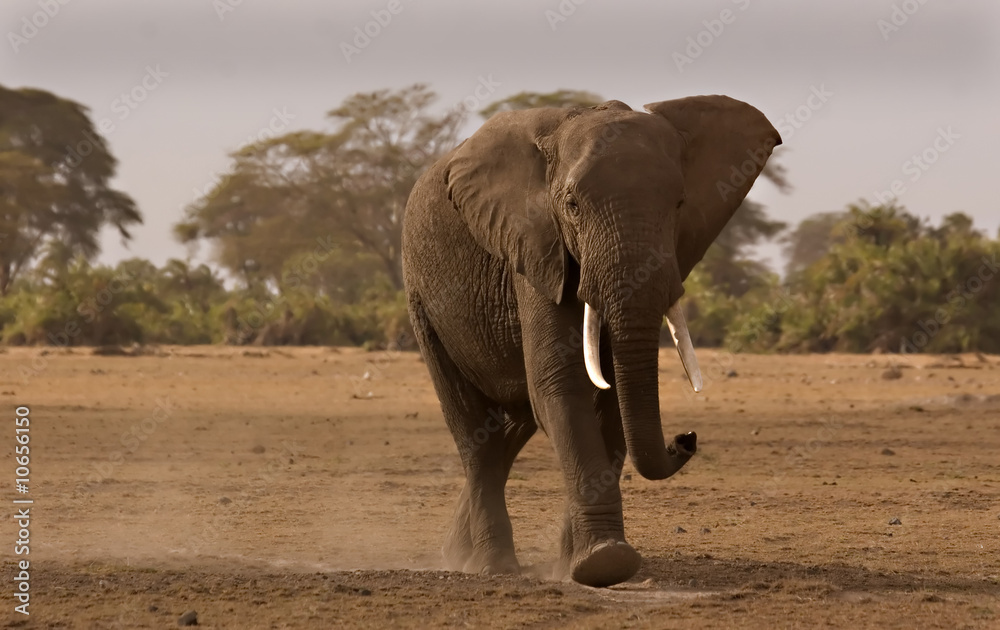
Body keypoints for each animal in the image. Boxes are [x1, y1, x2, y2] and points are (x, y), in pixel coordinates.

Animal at [401, 95, 780, 587]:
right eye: (572, 205)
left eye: (679, 203)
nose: (686, 438)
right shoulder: (537, 249)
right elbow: (563, 385)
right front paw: (604, 563)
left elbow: (613, 398)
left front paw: (579, 565)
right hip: (422, 298)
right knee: (475, 434)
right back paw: (491, 566)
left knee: (513, 427)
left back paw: (459, 555)